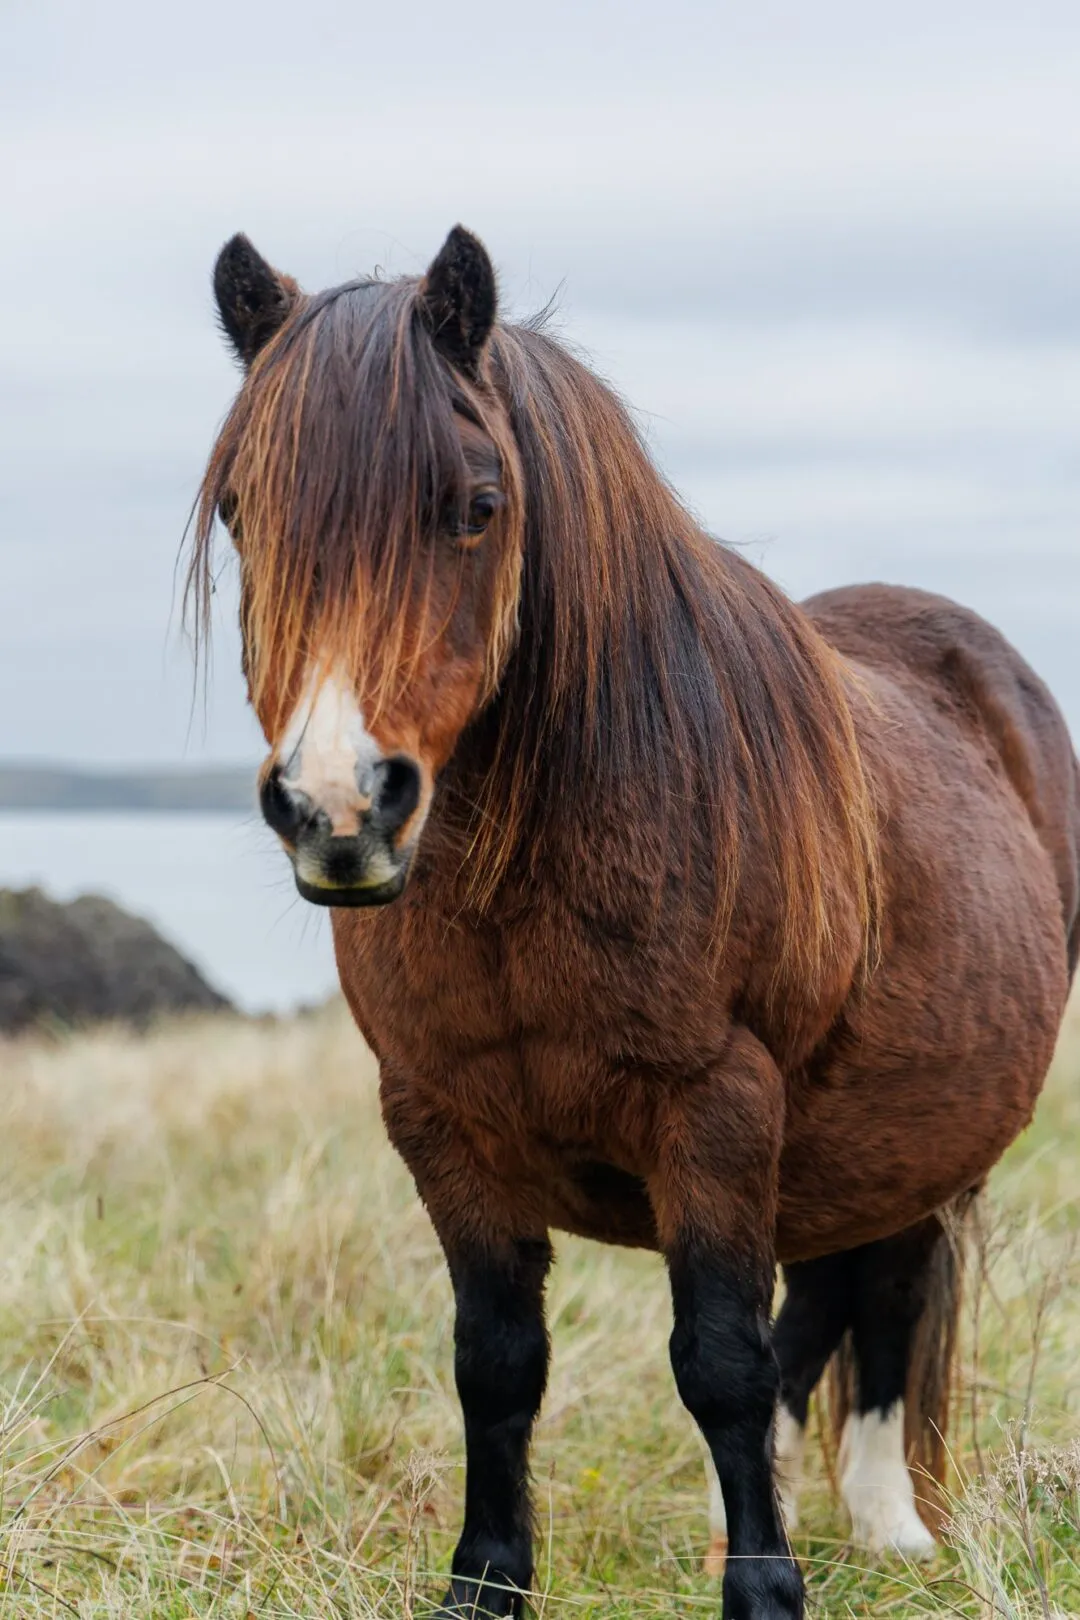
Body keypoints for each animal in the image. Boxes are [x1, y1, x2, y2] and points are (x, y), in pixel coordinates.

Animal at [191, 224, 1080, 1620]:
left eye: (478, 505)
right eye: (241, 510)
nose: (339, 806)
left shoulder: (714, 1109)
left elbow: (719, 1359)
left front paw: (764, 1594)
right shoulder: (441, 1126)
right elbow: (497, 1363)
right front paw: (486, 1587)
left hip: (927, 1131)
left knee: (879, 1289)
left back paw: (886, 1527)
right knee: (820, 1301)